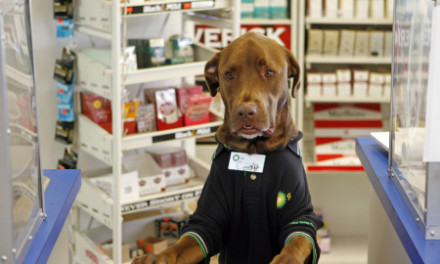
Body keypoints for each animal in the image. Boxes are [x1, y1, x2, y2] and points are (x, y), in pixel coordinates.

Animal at [131, 31, 320, 264]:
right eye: (229, 74)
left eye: (269, 72)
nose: (246, 112)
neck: (254, 150)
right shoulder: (207, 218)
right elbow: (183, 244)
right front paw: (157, 257)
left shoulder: (300, 217)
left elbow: (296, 243)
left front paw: (286, 259)